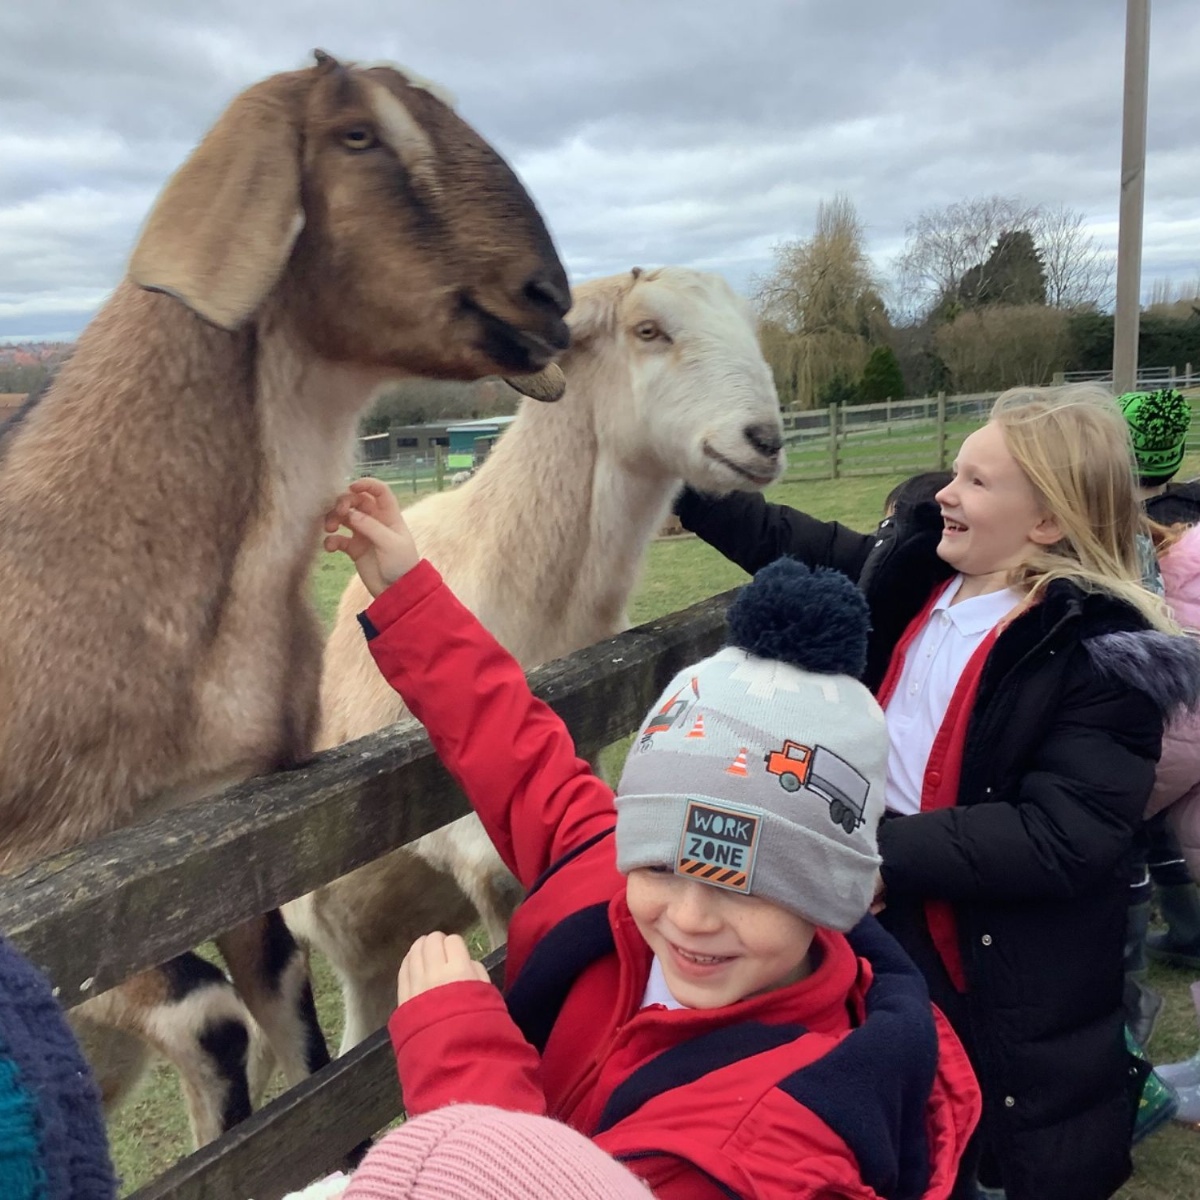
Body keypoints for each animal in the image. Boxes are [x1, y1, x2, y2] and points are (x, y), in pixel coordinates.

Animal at [0, 49, 568, 1152]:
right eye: (357, 135)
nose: (548, 298)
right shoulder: (63, 891)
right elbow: (212, 1019)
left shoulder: (231, 836)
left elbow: (287, 1021)